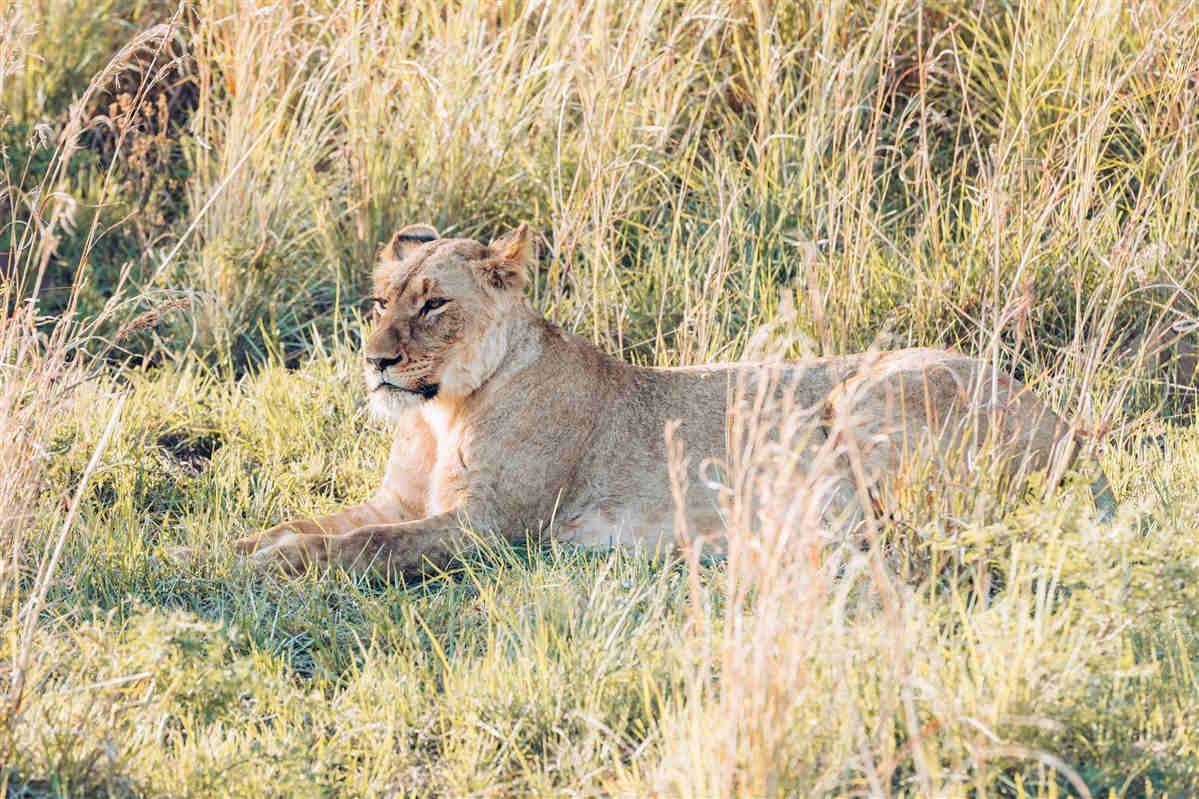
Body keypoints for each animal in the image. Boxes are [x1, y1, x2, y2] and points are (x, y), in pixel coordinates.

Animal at [238, 224, 1117, 573]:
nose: (375, 361)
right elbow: (317, 520)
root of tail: (1063, 422)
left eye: (433, 305)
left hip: (864, 398)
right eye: (379, 301)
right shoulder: (401, 497)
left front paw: (279, 566)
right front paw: (240, 545)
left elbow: (366, 545)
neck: (438, 408)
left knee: (905, 525)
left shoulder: (490, 528)